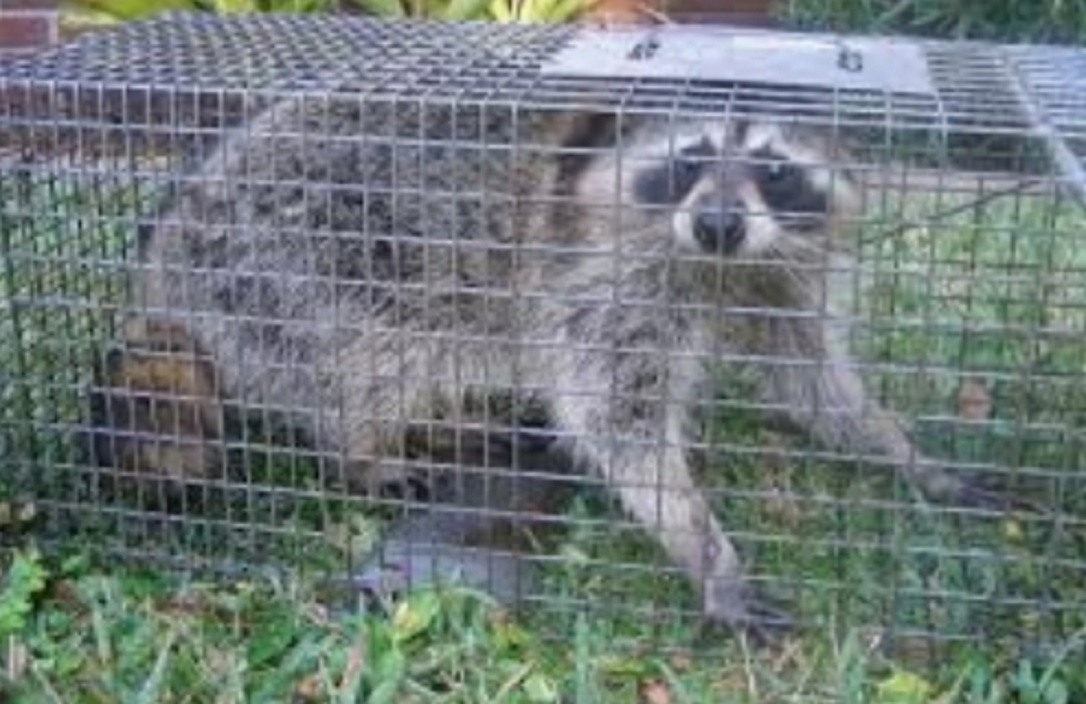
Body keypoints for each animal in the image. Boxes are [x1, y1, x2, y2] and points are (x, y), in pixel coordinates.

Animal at [84, 95, 1017, 640]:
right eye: (690, 157)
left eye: (773, 168)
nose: (716, 221)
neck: (714, 264)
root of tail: (160, 257)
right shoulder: (600, 281)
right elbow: (616, 419)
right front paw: (706, 550)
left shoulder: (780, 272)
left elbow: (813, 379)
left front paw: (908, 454)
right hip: (286, 260)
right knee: (361, 357)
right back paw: (367, 448)